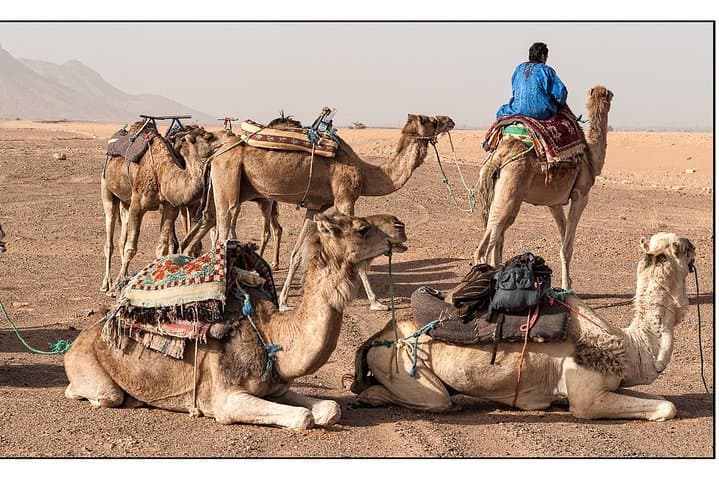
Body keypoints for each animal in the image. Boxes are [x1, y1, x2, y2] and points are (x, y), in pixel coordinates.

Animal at [65, 210, 408, 429]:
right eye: (362, 228)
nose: (399, 225)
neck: (271, 334)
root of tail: (75, 343)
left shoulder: (276, 388)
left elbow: (329, 409)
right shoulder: (226, 399)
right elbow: (303, 418)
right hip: (94, 374)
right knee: (99, 394)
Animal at [181, 114, 455, 311]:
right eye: (431, 121)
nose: (449, 120)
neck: (366, 173)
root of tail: (215, 155)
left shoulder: (314, 207)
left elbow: (297, 253)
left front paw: (283, 301)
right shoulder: (345, 197)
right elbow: (358, 255)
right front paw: (377, 302)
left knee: (211, 227)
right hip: (228, 182)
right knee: (222, 235)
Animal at [350, 232, 696, 421]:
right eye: (679, 248)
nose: (693, 244)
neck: (629, 346)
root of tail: (379, 336)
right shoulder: (586, 395)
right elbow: (667, 407)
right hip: (407, 365)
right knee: (435, 399)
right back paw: (370, 397)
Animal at [474, 86, 614, 290]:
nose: (607, 96)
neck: (591, 156)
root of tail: (499, 157)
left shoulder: (554, 203)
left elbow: (564, 236)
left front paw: (568, 281)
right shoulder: (581, 195)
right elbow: (567, 247)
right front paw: (567, 287)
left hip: (500, 191)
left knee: (498, 236)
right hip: (511, 189)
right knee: (485, 245)